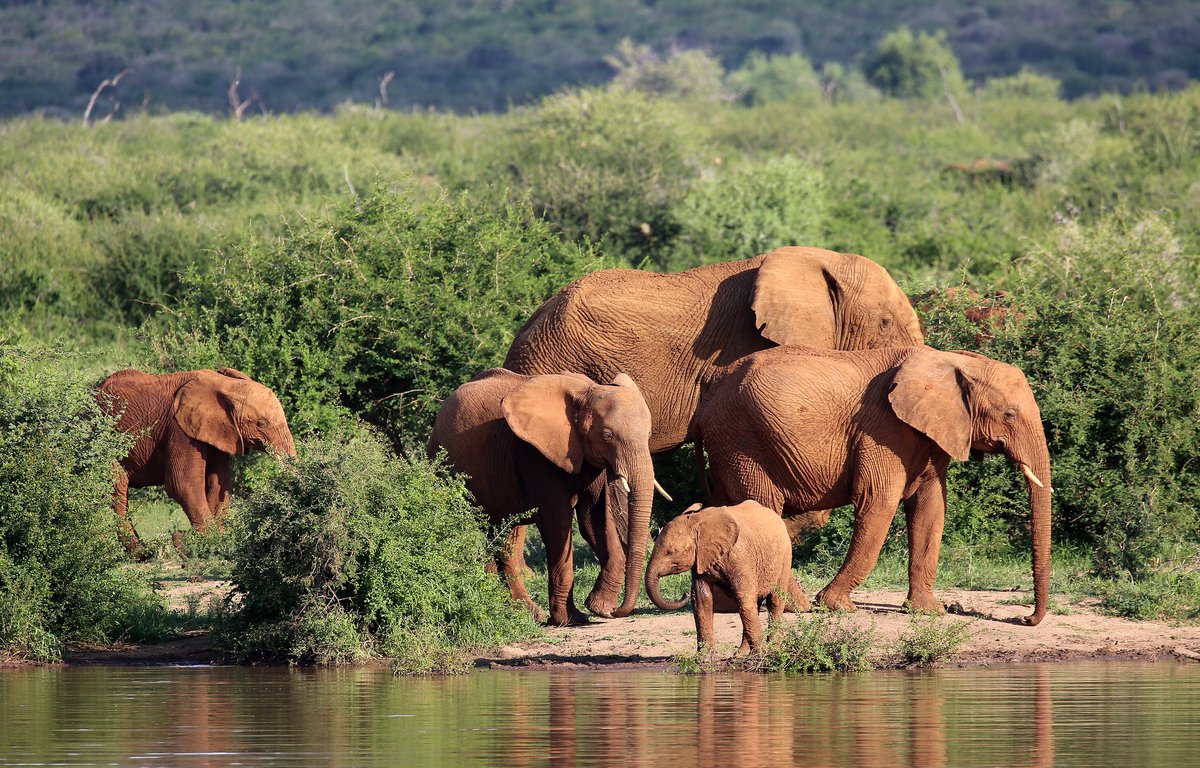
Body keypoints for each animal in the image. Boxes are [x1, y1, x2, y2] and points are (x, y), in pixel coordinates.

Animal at [96, 364, 297, 552]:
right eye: (261, 423)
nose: (181, 533)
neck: (227, 385)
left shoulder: (220, 431)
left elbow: (219, 481)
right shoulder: (179, 429)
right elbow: (182, 483)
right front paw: (209, 543)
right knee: (117, 484)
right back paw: (141, 553)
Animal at [427, 369, 667, 628]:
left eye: (649, 434)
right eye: (607, 435)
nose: (616, 612)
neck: (588, 391)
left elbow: (593, 518)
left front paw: (598, 607)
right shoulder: (535, 454)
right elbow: (557, 523)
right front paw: (572, 620)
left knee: (508, 536)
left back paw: (530, 615)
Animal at [648, 501, 806, 657]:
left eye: (671, 552)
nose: (684, 594)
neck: (698, 520)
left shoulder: (739, 556)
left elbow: (743, 596)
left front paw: (759, 655)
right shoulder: (701, 558)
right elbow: (702, 599)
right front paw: (704, 658)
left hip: (785, 556)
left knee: (774, 601)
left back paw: (772, 650)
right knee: (755, 603)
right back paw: (740, 654)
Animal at [696, 345, 1051, 628]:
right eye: (1009, 414)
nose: (1024, 618)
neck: (951, 361)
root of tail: (713, 385)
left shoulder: (931, 434)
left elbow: (931, 508)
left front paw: (929, 611)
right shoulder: (882, 428)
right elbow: (878, 501)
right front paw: (837, 606)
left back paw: (731, 605)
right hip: (743, 441)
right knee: (763, 510)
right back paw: (800, 606)